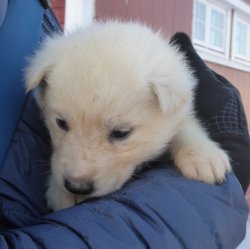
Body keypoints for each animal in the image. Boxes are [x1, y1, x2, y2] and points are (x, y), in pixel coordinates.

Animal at [24, 20, 230, 210]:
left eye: (121, 133)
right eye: (60, 123)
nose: (76, 186)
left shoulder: (180, 111)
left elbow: (184, 127)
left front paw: (202, 155)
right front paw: (61, 192)